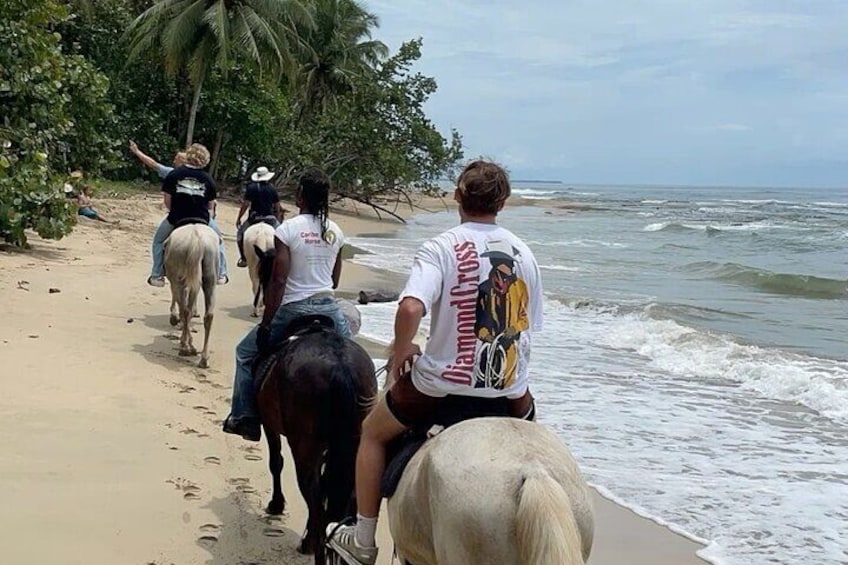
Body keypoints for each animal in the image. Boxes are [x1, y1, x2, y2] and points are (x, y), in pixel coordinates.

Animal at [164, 223, 219, 368]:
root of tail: (196, 238)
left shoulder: (178, 282)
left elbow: (182, 308)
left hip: (178, 280)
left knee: (185, 311)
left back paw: (185, 347)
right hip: (210, 278)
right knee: (208, 316)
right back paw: (204, 359)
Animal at [256, 322, 376, 564]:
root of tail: (340, 365)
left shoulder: (269, 425)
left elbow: (275, 462)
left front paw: (276, 504)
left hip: (303, 446)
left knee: (314, 496)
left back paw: (312, 545)